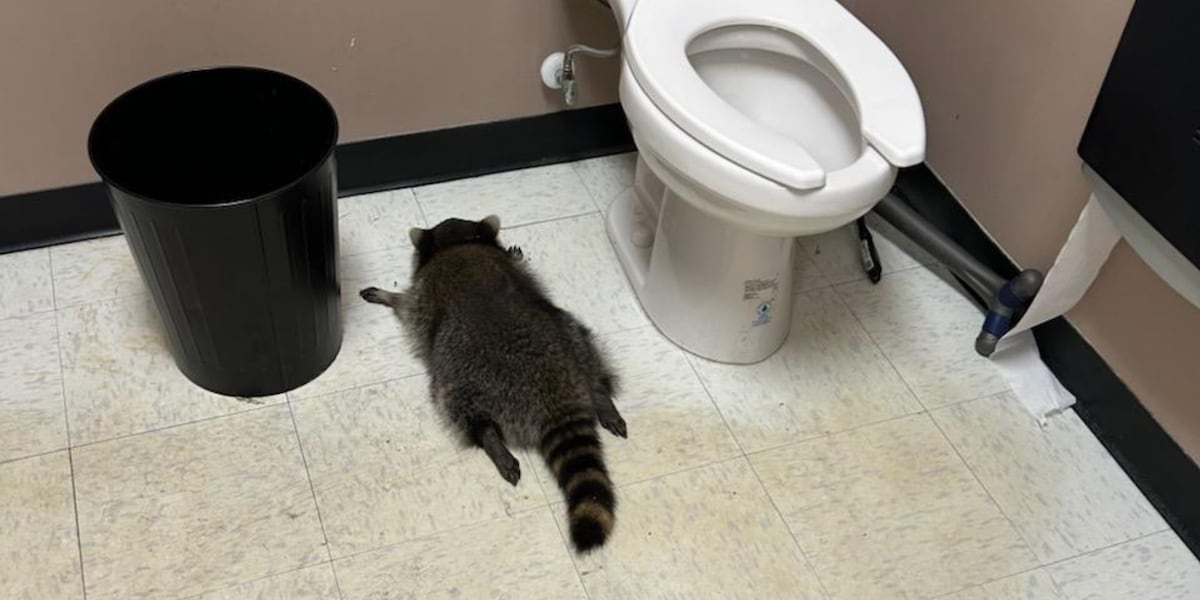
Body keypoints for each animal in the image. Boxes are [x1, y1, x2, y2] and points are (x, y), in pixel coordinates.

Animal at [359, 215, 627, 552]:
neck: (459, 243)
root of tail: (556, 394)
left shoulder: (423, 295)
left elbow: (407, 305)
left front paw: (388, 296)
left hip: (463, 376)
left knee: (459, 407)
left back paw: (490, 439)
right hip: (573, 336)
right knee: (589, 353)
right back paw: (601, 396)